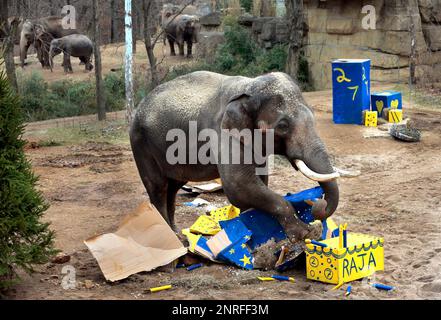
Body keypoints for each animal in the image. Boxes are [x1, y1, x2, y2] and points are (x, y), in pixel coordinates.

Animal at [129, 71, 338, 241]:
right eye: (283, 125)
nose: (318, 204)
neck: (248, 86)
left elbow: (258, 181)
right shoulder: (221, 132)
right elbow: (238, 184)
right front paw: (305, 233)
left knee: (173, 188)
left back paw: (177, 234)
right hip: (141, 143)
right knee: (158, 187)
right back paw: (174, 240)